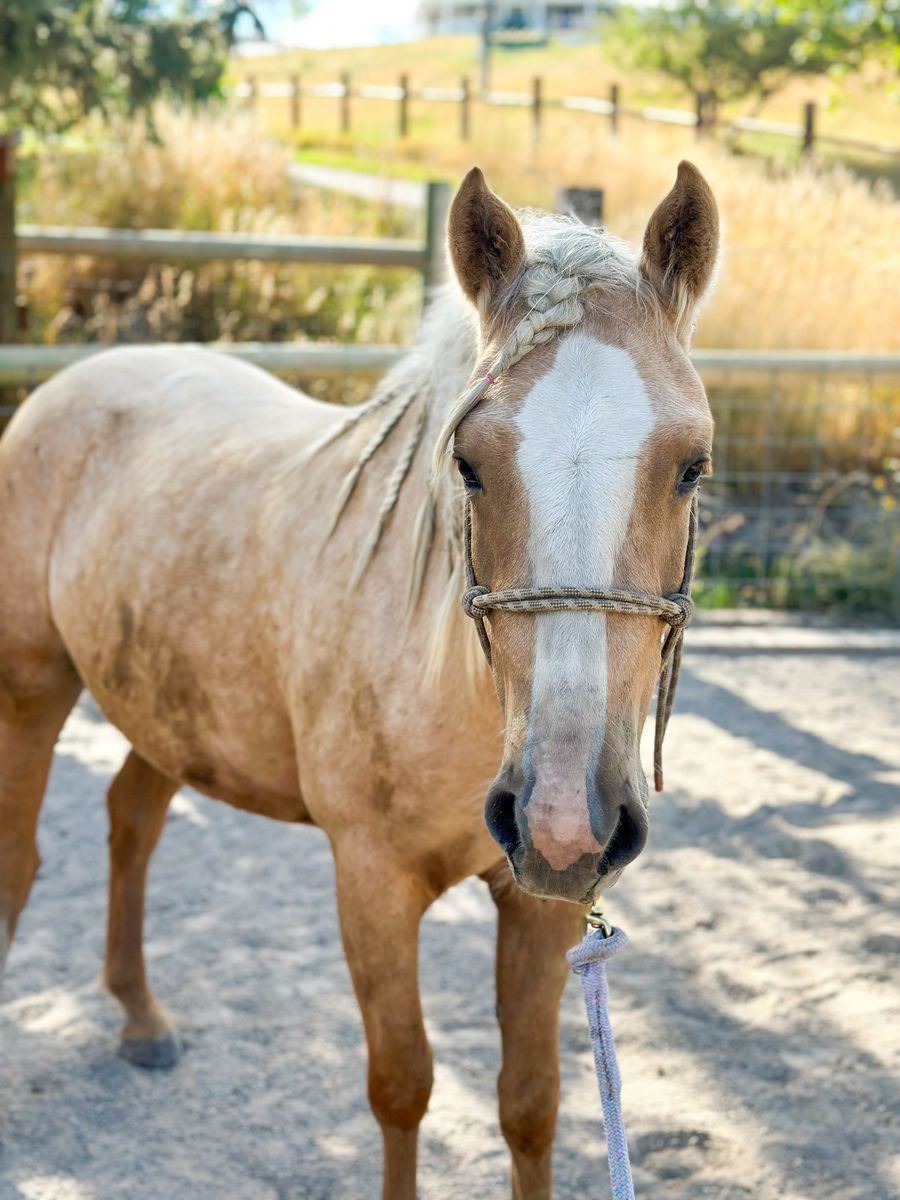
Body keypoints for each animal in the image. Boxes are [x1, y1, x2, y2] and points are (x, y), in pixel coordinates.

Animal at [0, 163, 718, 1199]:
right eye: (468, 463)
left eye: (692, 466)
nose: (562, 816)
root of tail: (75, 381)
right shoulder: (371, 886)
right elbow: (402, 1085)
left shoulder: (539, 906)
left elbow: (531, 1102)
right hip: (31, 692)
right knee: (21, 861)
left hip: (168, 712)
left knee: (130, 821)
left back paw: (141, 1019)